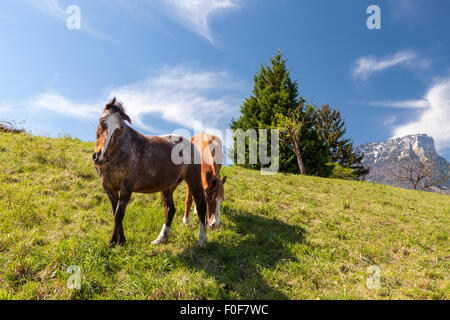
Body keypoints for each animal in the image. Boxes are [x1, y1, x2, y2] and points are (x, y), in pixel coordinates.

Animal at [93, 97, 209, 248]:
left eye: (119, 129)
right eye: (102, 121)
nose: (100, 156)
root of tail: (190, 143)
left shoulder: (126, 187)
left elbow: (119, 214)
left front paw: (112, 243)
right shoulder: (109, 188)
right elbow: (115, 213)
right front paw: (121, 241)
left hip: (193, 179)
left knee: (201, 205)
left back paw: (201, 239)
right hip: (168, 187)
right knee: (170, 210)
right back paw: (161, 239)